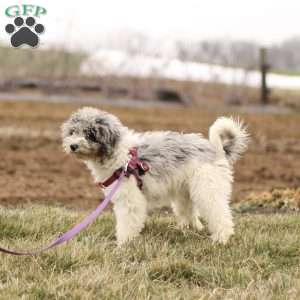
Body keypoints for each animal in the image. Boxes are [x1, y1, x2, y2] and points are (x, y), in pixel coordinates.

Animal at [61, 108, 248, 246]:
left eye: (90, 134)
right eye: (73, 132)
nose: (73, 146)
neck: (120, 155)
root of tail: (217, 150)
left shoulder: (130, 199)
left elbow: (127, 223)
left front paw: (123, 244)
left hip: (208, 190)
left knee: (220, 215)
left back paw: (221, 239)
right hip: (185, 193)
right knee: (190, 214)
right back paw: (187, 229)